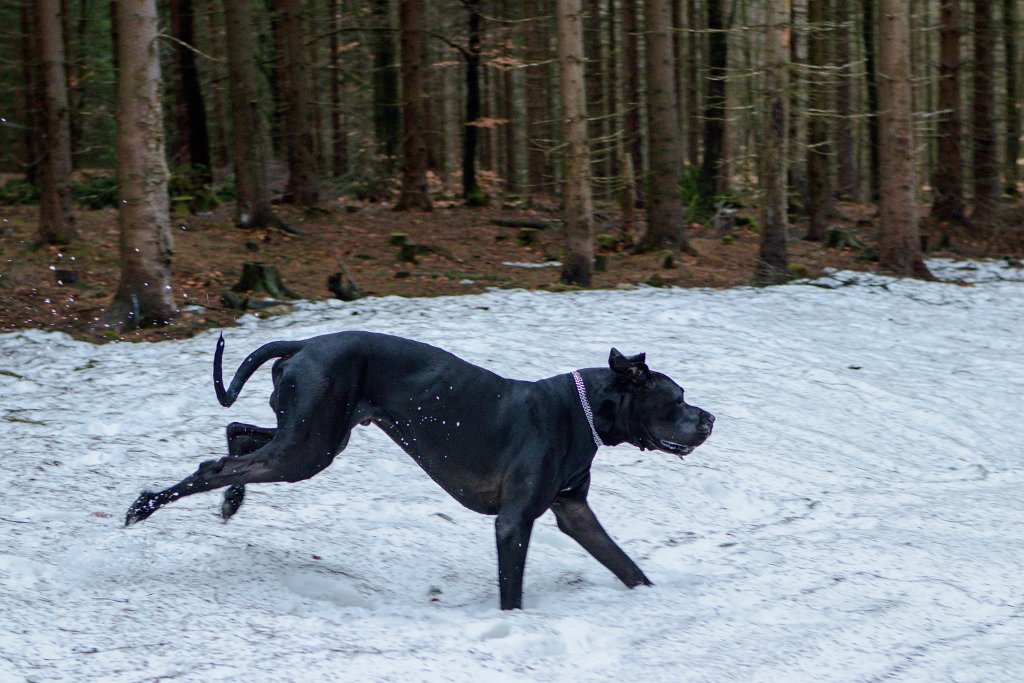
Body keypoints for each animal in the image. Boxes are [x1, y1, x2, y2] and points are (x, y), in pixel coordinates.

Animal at [125, 329, 712, 610]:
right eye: (677, 398)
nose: (710, 419)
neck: (583, 410)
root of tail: (305, 344)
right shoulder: (513, 523)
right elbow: (512, 592)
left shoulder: (574, 511)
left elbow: (627, 565)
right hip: (307, 449)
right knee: (218, 463)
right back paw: (144, 506)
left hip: (310, 438)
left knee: (237, 439)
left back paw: (230, 501)